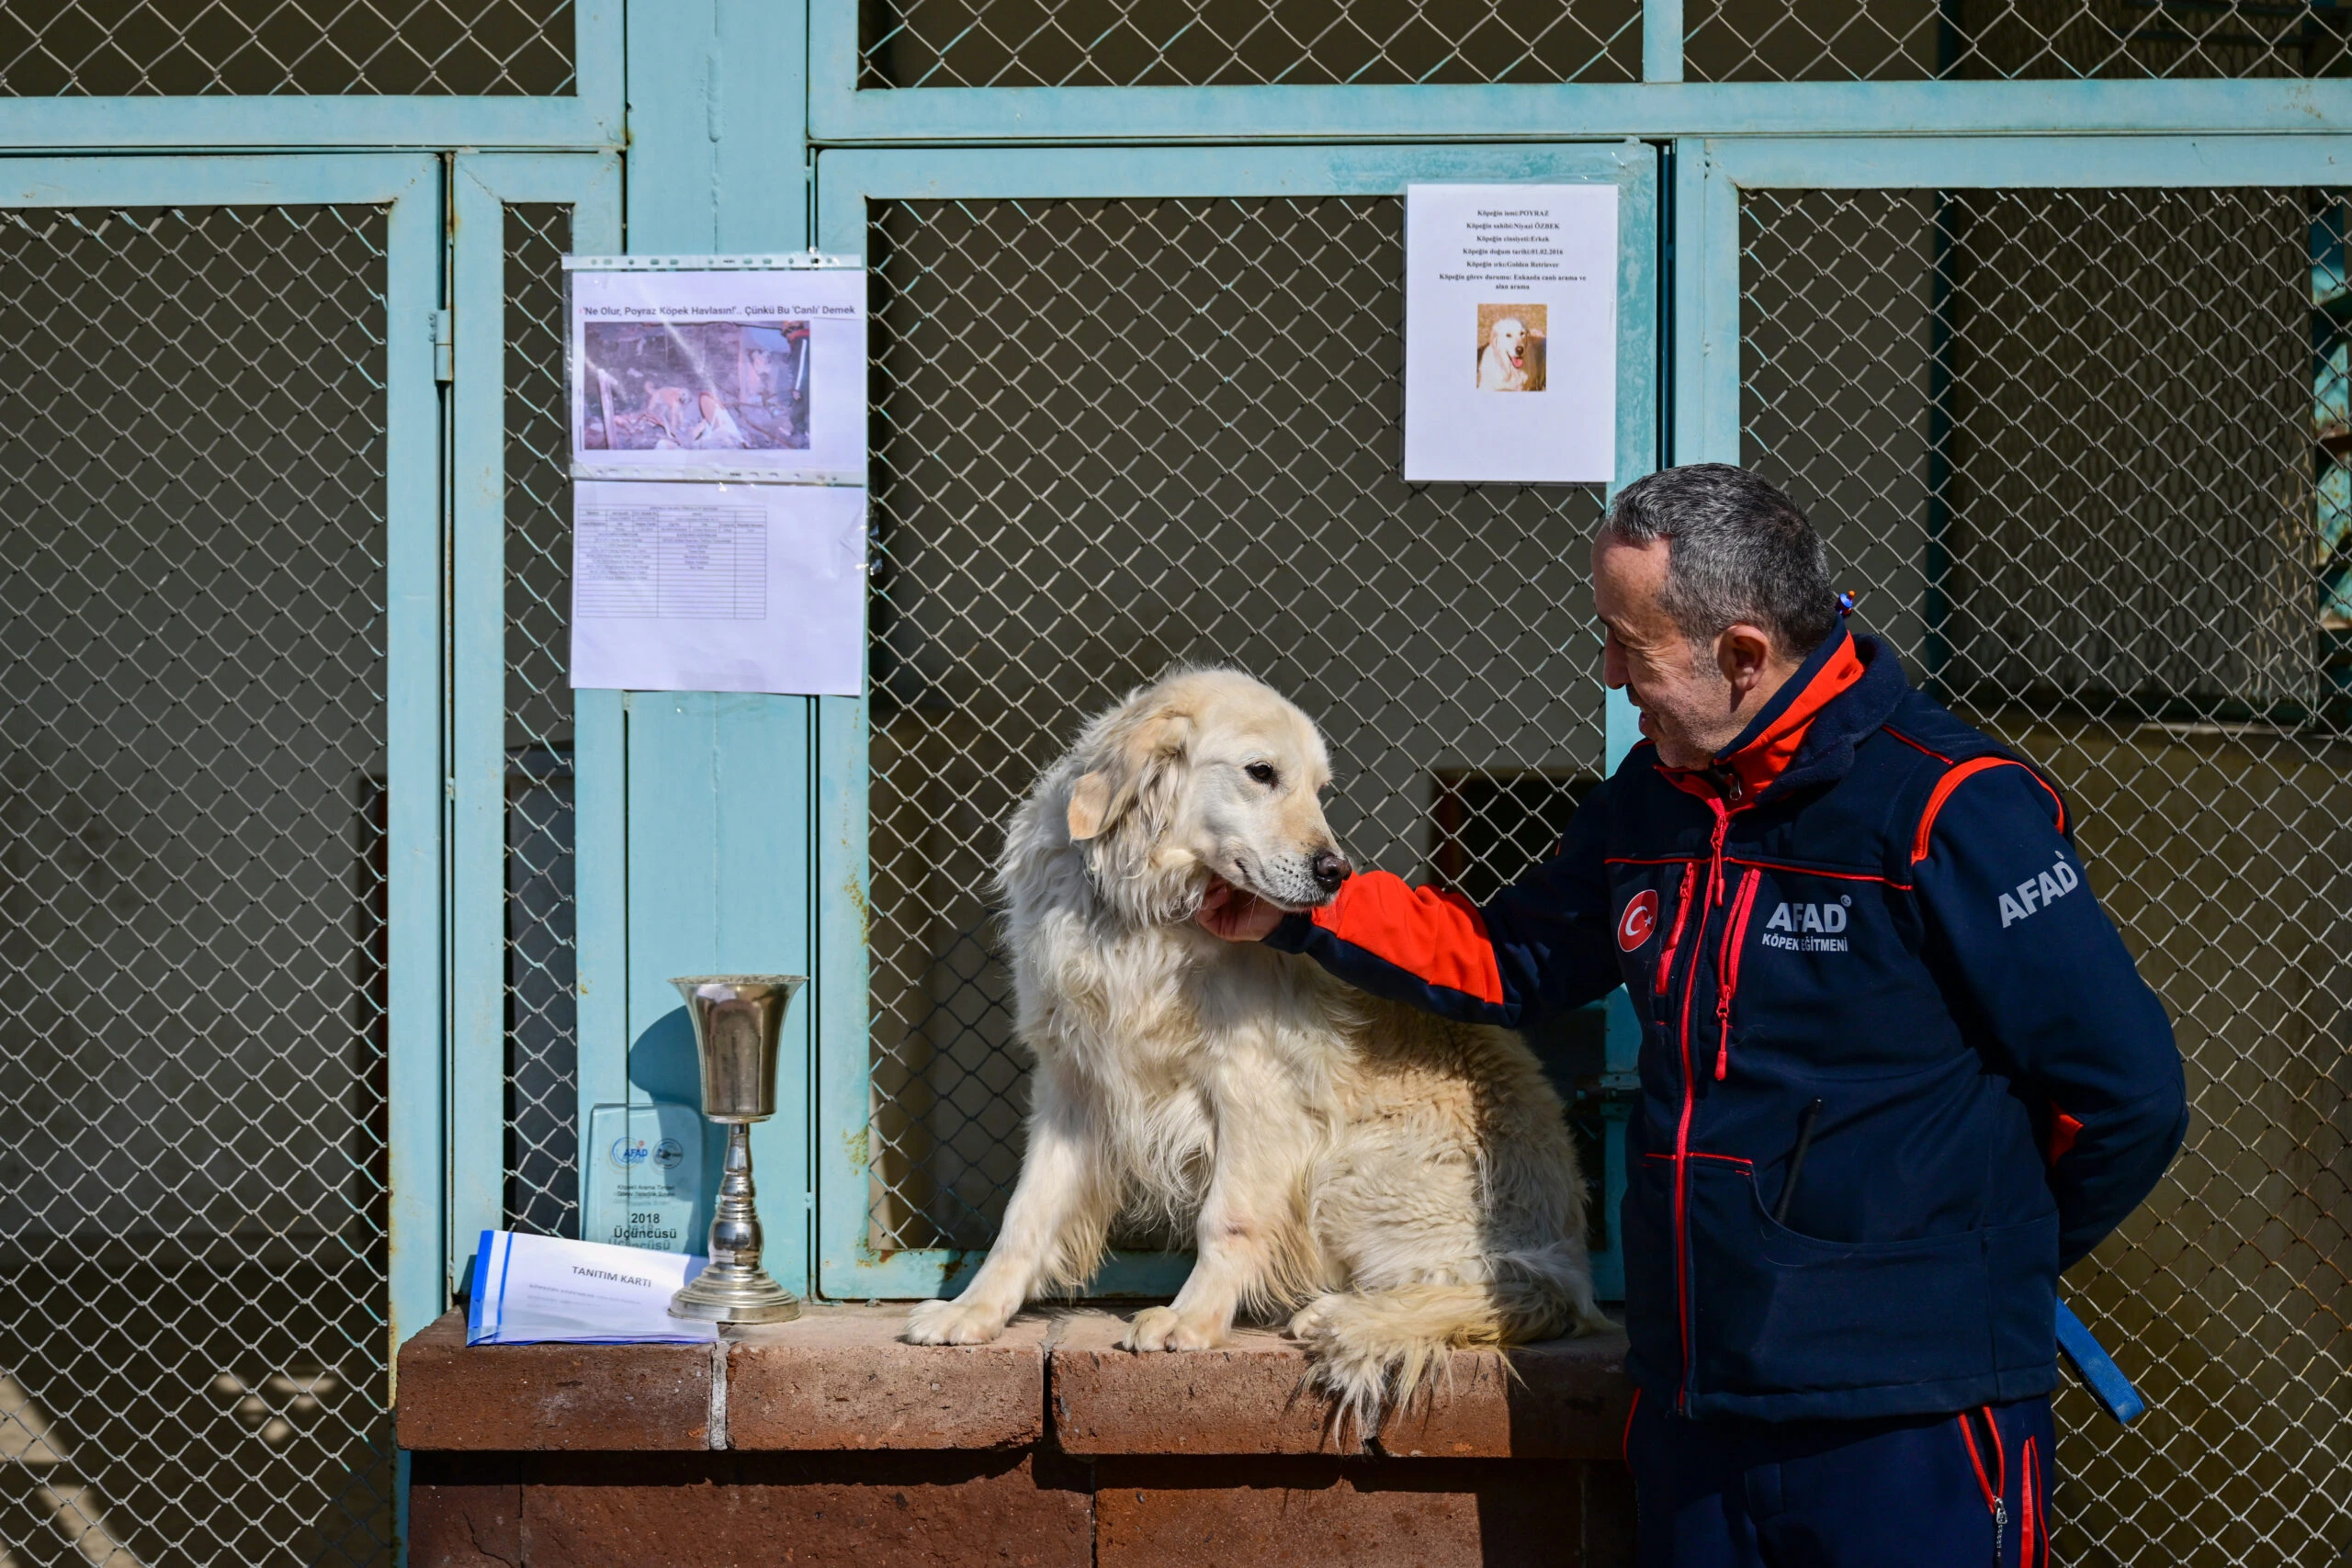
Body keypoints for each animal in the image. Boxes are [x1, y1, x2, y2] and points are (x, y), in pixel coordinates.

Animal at [893, 667, 1599, 1419]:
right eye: (1262, 773)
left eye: (1321, 789)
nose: (1336, 874)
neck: (1147, 914)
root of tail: (1572, 1261)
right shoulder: (1071, 1083)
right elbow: (1024, 1215)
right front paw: (974, 1311)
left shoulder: (1253, 1088)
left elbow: (1224, 1220)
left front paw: (1190, 1320)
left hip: (1351, 1170)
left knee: (1510, 1290)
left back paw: (1341, 1314)